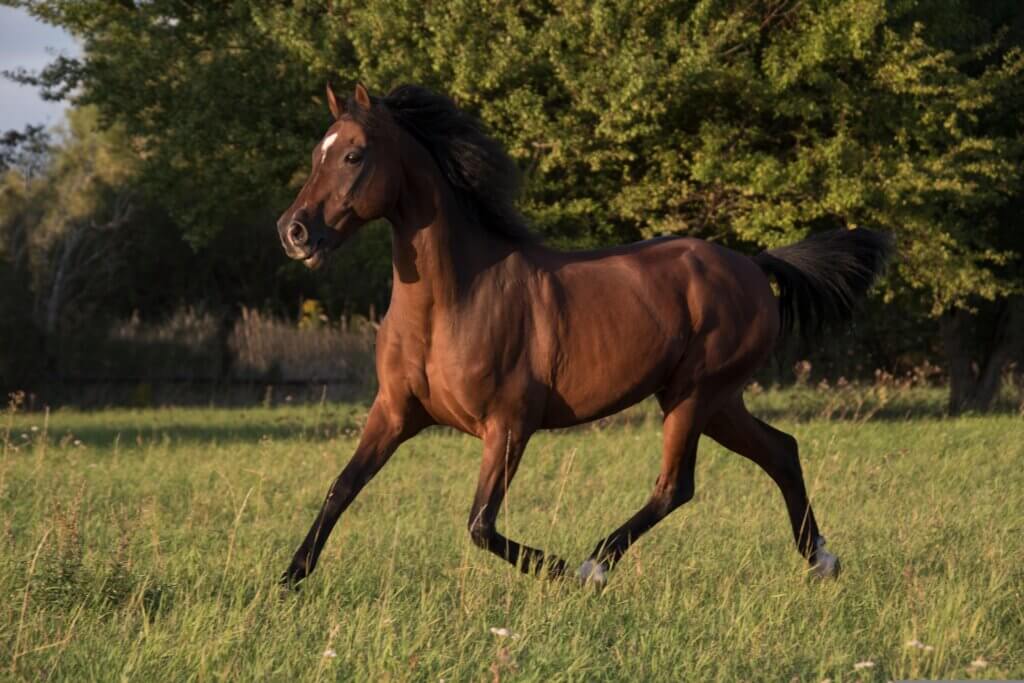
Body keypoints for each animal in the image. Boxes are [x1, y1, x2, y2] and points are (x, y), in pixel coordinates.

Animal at [276, 82, 892, 588]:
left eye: (353, 154)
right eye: (316, 154)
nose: (294, 231)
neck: (452, 303)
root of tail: (752, 265)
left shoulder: (509, 425)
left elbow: (480, 524)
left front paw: (557, 566)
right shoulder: (394, 413)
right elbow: (340, 489)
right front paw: (287, 581)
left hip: (695, 394)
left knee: (676, 486)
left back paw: (594, 566)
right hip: (716, 401)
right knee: (781, 451)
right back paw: (822, 562)